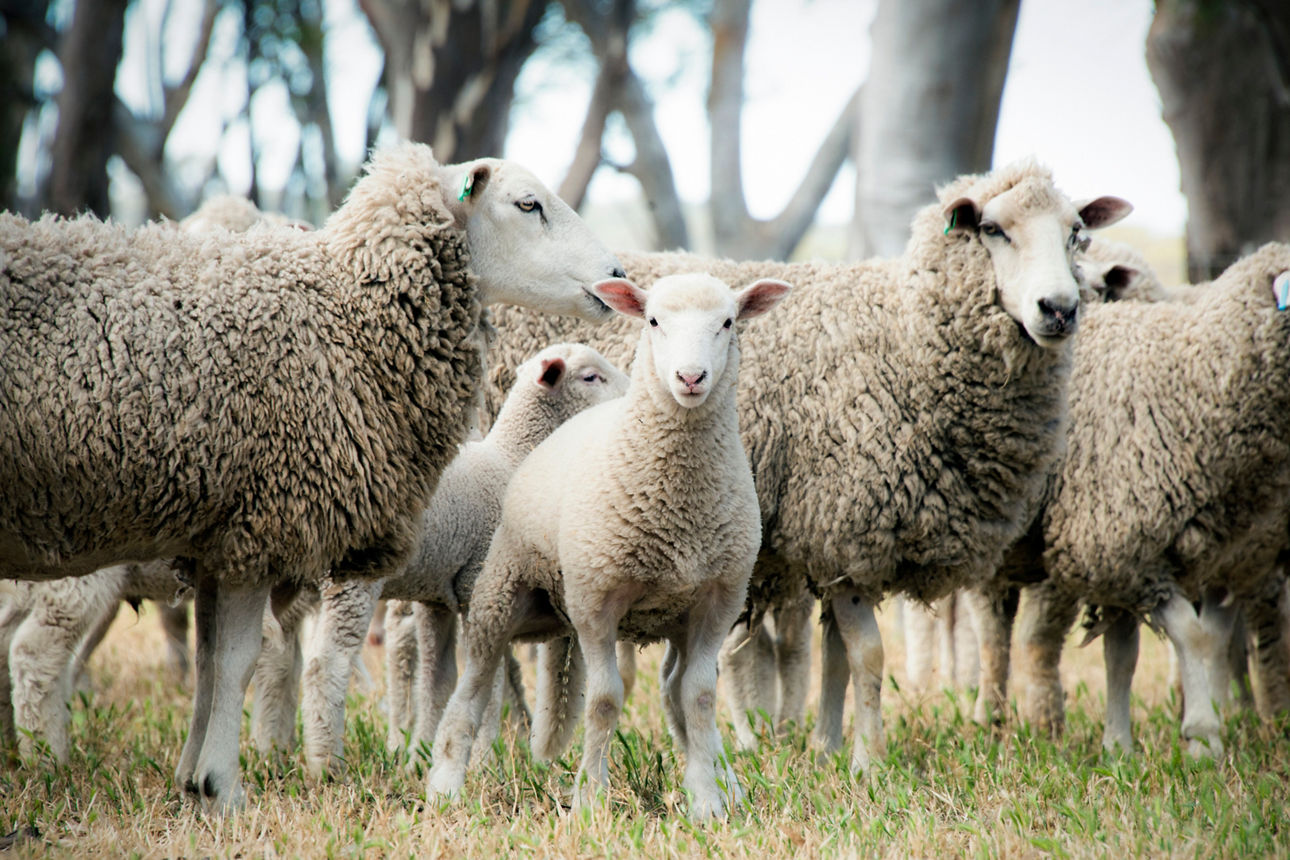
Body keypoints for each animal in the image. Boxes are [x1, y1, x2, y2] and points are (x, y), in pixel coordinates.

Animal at [297, 342, 628, 774]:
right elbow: (490, 679)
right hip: (355, 577)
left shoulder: (437, 598)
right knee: (328, 664)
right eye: (591, 377)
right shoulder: (481, 586)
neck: (512, 457)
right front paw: (484, 759)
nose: (633, 392)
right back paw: (326, 765)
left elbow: (437, 680)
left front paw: (420, 755)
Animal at [427, 273, 792, 820]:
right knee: (473, 683)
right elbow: (603, 701)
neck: (680, 500)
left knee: (674, 689)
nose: (690, 378)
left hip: (672, 617)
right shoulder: (595, 599)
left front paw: (708, 800)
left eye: (728, 322)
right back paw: (445, 784)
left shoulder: (718, 599)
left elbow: (700, 697)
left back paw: (722, 778)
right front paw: (589, 800)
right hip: (503, 589)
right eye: (653, 321)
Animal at [478, 160, 1131, 772]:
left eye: (1076, 234)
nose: (1059, 309)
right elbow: (868, 656)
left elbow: (836, 657)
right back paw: (498, 732)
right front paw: (868, 761)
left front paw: (828, 745)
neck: (906, 337)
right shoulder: (846, 527)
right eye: (994, 230)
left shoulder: (834, 547)